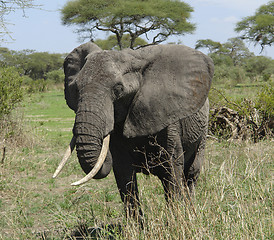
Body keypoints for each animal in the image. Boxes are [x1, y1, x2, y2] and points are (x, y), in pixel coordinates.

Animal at [52, 41, 214, 219]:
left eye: (118, 89)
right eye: (75, 89)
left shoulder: (167, 117)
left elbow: (171, 165)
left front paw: (177, 222)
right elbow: (124, 172)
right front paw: (137, 226)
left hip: (203, 130)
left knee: (190, 174)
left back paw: (192, 214)